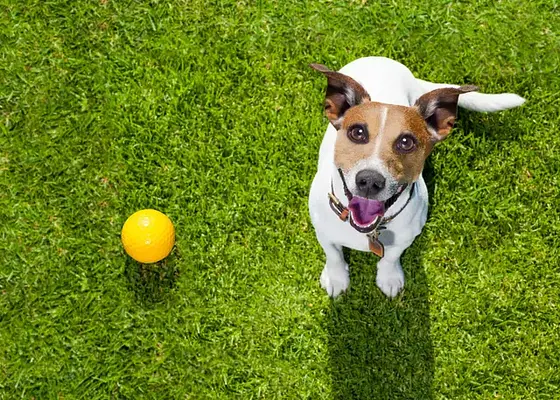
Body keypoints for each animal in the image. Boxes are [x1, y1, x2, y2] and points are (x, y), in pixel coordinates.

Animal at [306, 57, 524, 298]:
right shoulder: (322, 231)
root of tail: (382, 60)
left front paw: (389, 277)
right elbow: (333, 254)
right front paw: (336, 278)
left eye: (406, 142)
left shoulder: (406, 238)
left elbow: (391, 257)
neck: (371, 230)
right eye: (357, 132)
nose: (370, 181)